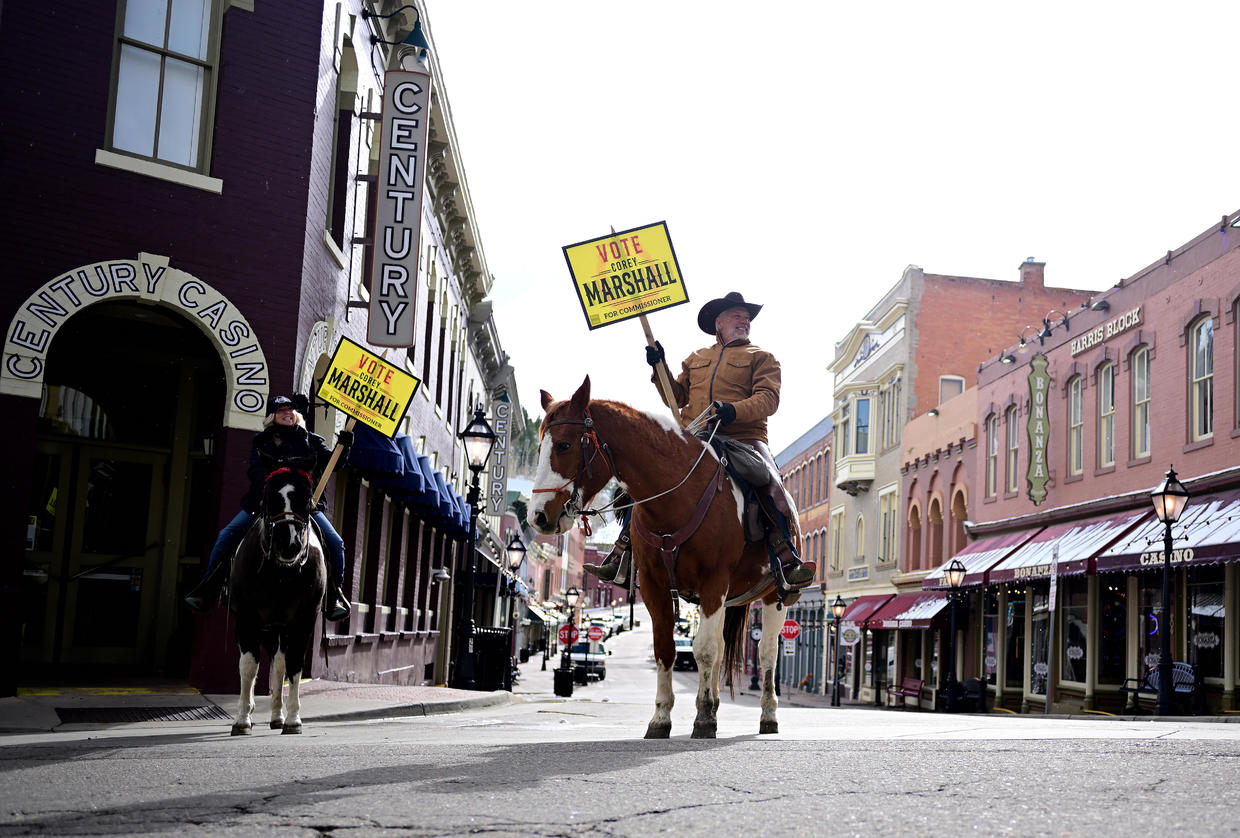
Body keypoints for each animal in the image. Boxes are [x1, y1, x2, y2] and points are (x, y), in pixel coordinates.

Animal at [228, 458, 324, 733]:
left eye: (307, 497)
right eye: (269, 495)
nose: (288, 543)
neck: (281, 574)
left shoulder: (303, 620)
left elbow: (293, 666)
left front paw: (292, 719)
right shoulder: (246, 618)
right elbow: (248, 667)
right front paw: (242, 719)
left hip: (280, 627)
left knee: (280, 666)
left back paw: (277, 715)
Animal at [528, 376, 788, 738]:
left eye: (564, 445)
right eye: (540, 448)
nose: (537, 516)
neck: (676, 497)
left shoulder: (713, 583)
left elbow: (704, 651)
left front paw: (703, 718)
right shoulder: (654, 586)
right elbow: (666, 649)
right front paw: (662, 718)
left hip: (775, 594)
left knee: (767, 653)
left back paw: (768, 714)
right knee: (724, 648)